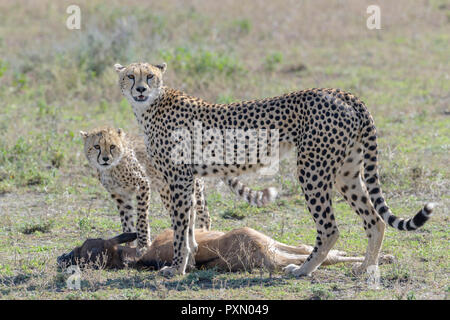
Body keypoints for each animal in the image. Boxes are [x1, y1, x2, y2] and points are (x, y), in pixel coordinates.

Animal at [114, 61, 434, 276]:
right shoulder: (189, 179)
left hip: (312, 169)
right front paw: (188, 262)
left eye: (150, 76)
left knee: (329, 228)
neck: (150, 107)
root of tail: (341, 92)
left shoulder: (178, 179)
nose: (140, 89)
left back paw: (303, 270)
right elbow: (191, 227)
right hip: (346, 171)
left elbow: (181, 228)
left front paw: (177, 268)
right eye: (130, 76)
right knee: (374, 220)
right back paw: (366, 268)